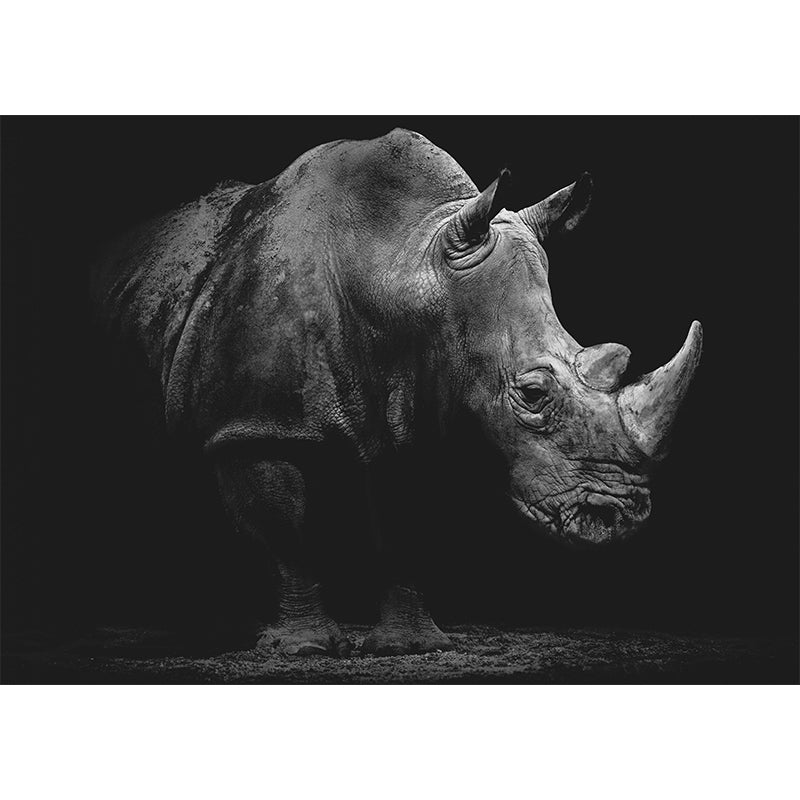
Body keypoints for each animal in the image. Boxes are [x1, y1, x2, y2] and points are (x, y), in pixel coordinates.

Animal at [91, 128, 702, 656]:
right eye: (532, 395)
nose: (617, 520)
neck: (403, 264)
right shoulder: (253, 424)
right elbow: (283, 532)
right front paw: (305, 648)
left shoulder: (420, 407)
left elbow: (406, 527)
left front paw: (413, 646)